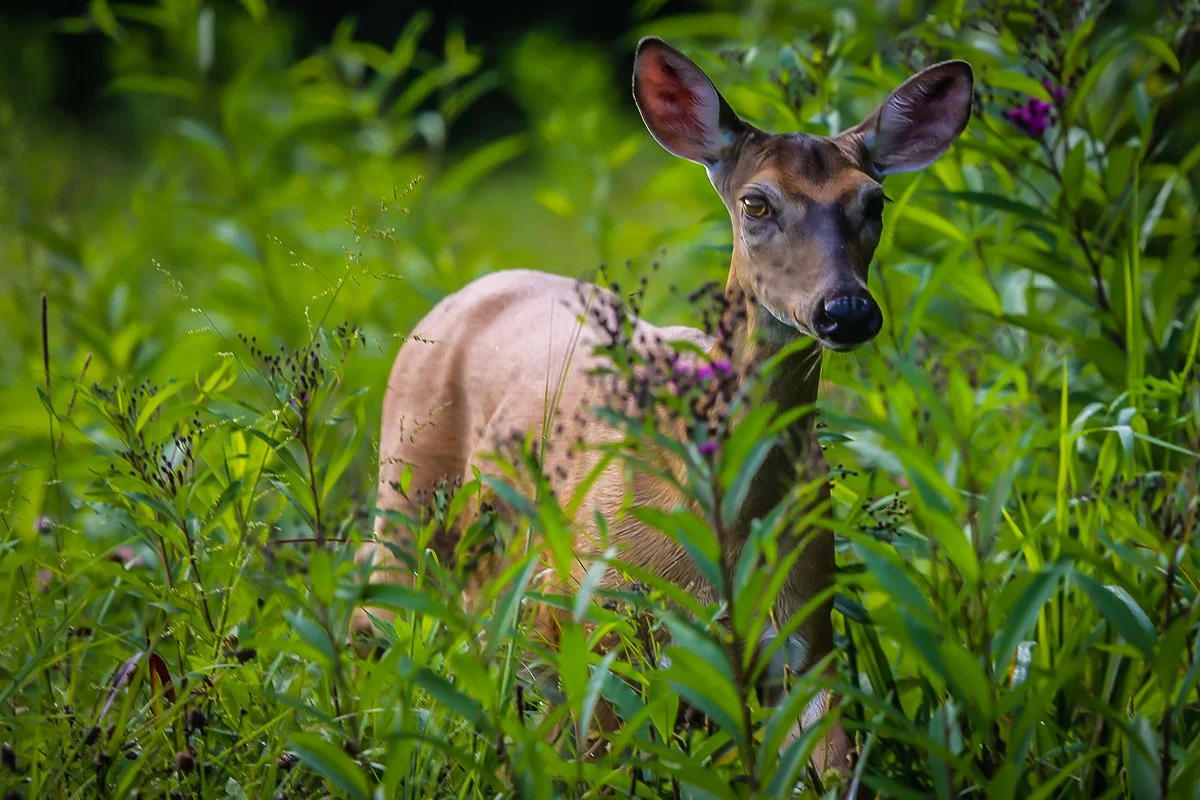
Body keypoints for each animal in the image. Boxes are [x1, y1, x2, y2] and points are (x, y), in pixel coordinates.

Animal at [353, 36, 972, 778]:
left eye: (874, 201)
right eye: (756, 202)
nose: (846, 310)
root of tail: (464, 292)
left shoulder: (804, 631)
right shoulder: (597, 620)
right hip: (407, 500)